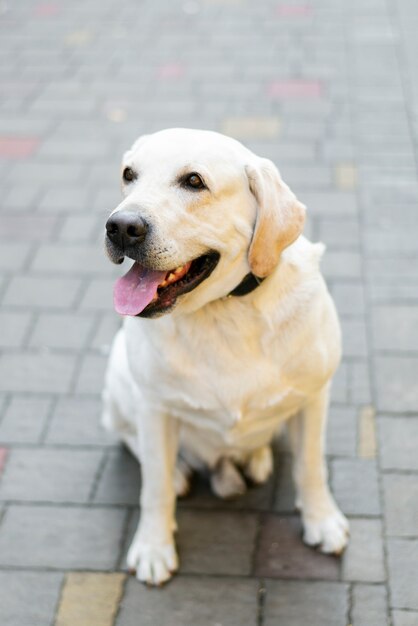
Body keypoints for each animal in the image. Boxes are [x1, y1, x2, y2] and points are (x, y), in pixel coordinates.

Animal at [101, 128, 350, 584]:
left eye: (194, 181)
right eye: (129, 174)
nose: (121, 227)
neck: (223, 311)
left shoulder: (314, 398)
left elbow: (310, 466)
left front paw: (321, 520)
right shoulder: (155, 408)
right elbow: (154, 486)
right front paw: (153, 546)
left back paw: (256, 458)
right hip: (120, 380)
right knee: (132, 439)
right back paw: (180, 471)